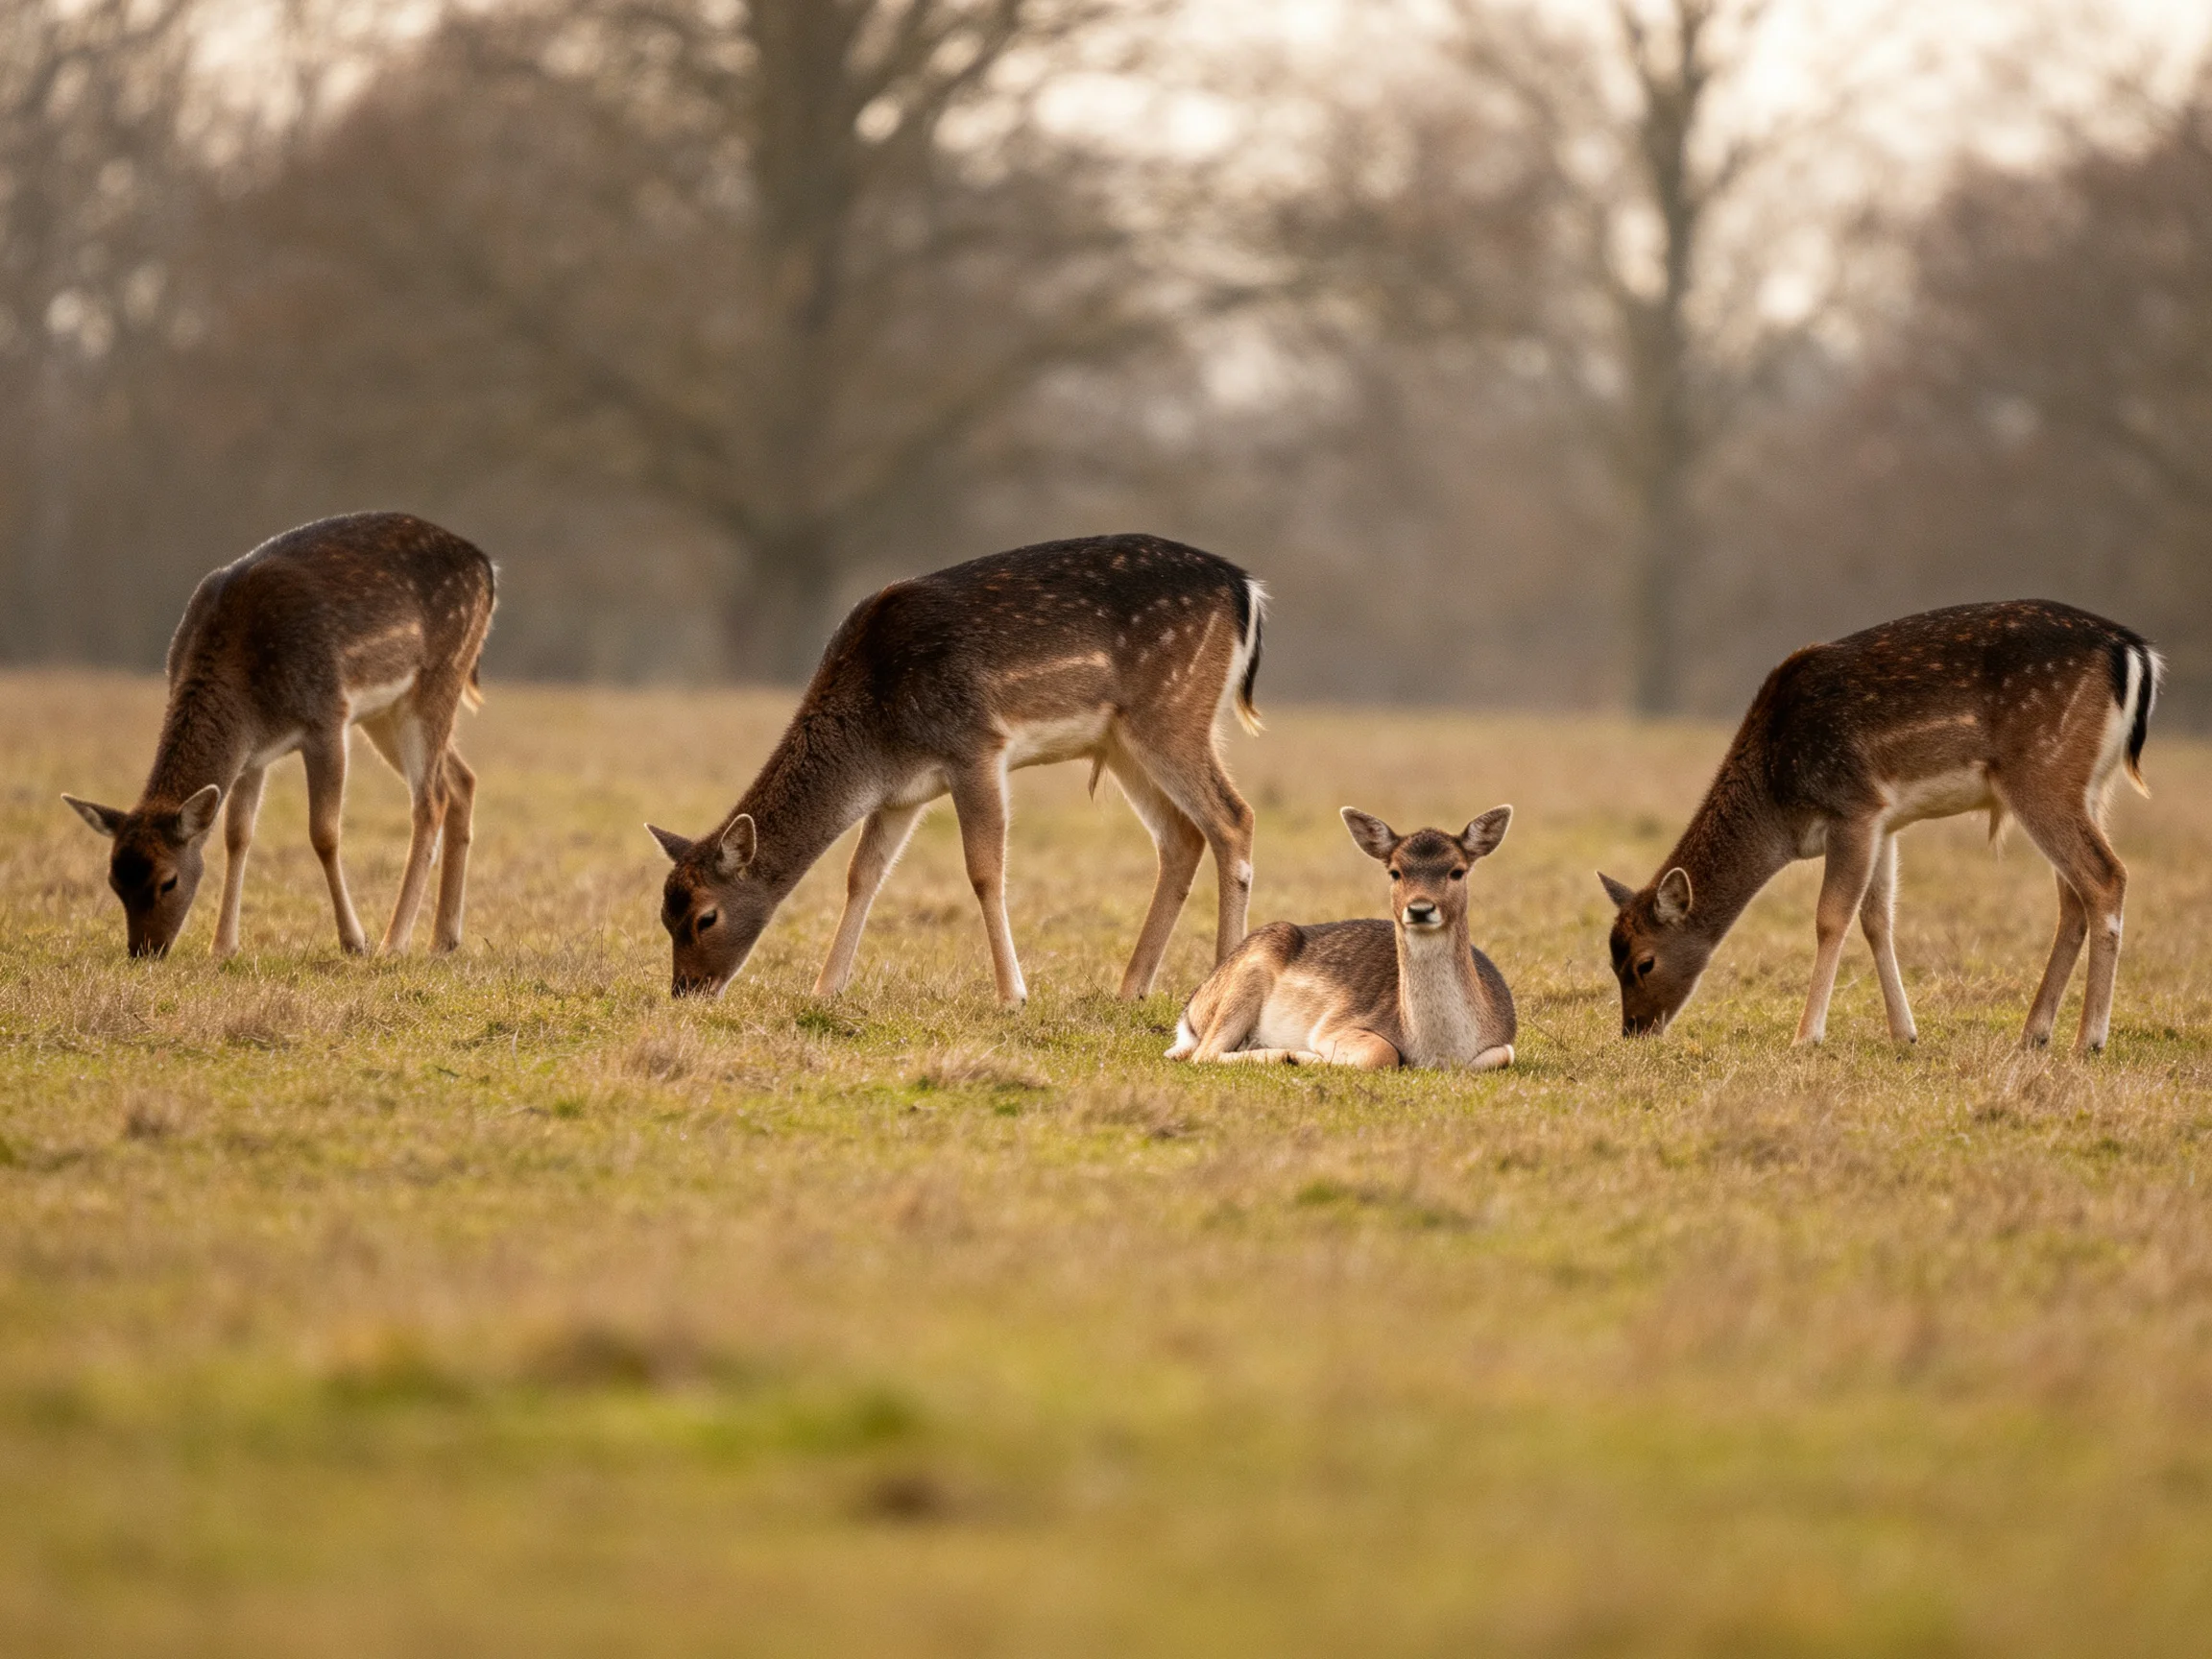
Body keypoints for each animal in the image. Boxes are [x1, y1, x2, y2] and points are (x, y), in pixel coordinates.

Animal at [62, 512, 496, 961]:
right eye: (114, 880)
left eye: (169, 880)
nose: (144, 950)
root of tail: (487, 567)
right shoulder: (252, 755)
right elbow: (237, 835)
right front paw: (223, 946)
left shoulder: (327, 716)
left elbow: (324, 833)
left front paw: (354, 941)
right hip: (386, 712)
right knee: (462, 780)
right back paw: (443, 939)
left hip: (439, 676)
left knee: (431, 799)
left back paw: (394, 942)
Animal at [648, 533, 1265, 1004]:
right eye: (663, 916)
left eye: (705, 917)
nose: (686, 991)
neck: (875, 742)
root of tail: (1246, 589)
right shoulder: (901, 794)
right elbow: (863, 875)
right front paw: (827, 989)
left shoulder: (975, 746)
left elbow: (984, 871)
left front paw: (1012, 995)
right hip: (1121, 743)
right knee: (1182, 835)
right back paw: (1131, 988)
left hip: (1173, 710)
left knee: (1233, 817)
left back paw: (1220, 980)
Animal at [1167, 805, 1516, 1069]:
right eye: (1395, 871)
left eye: (1457, 871)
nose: (1420, 909)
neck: (1438, 1052)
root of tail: (1189, 1011)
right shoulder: (1335, 1024)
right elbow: (1382, 1052)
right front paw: (1304, 1055)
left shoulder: (1504, 1045)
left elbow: (1503, 1055)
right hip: (1248, 974)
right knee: (1203, 1053)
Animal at [1599, 600, 2161, 1054]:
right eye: (1612, 961)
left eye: (1644, 962)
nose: (1635, 1030)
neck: (1778, 802)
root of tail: (2134, 652)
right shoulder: (1885, 822)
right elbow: (1877, 918)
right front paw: (1904, 1033)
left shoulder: (1854, 806)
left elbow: (1831, 918)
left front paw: (1806, 1036)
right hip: (2089, 787)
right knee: (2073, 898)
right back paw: (2033, 1033)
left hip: (2043, 772)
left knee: (2105, 877)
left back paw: (2089, 1040)